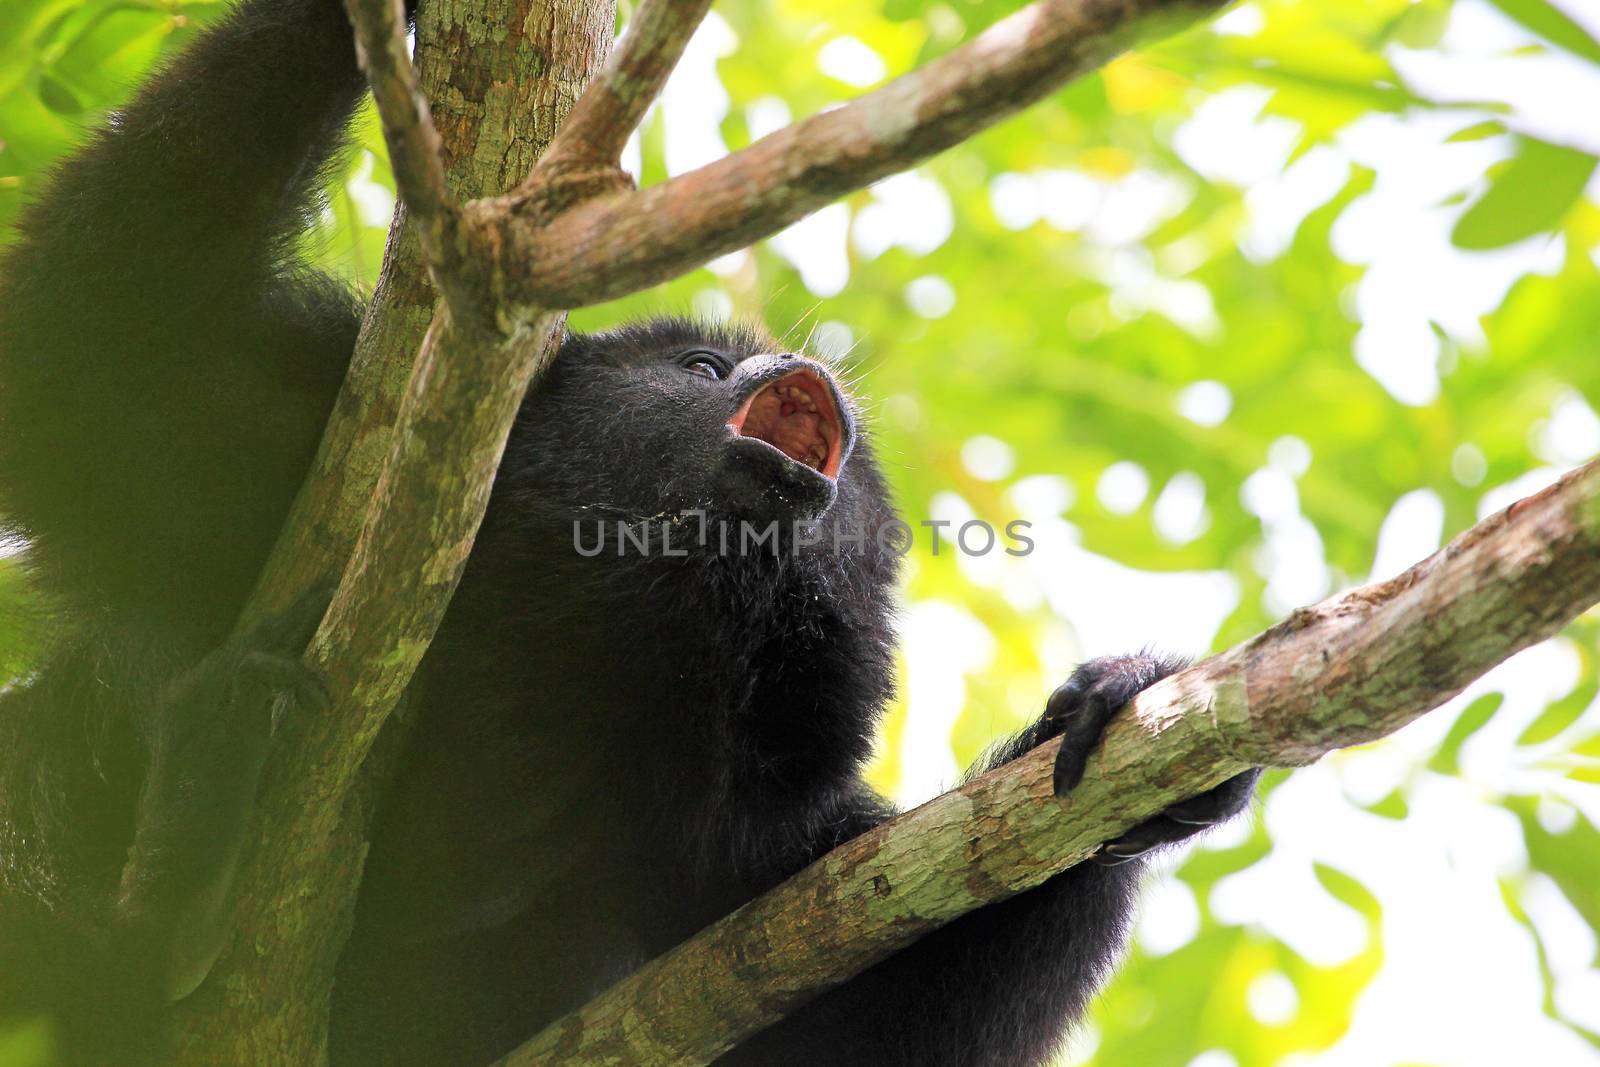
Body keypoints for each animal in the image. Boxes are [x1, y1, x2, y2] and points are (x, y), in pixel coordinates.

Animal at [0, 2, 1254, 1067]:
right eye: (696, 368)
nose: (785, 369)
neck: (598, 649)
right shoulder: (278, 436)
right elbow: (97, 350)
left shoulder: (760, 833)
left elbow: (872, 1025)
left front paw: (1111, 709)